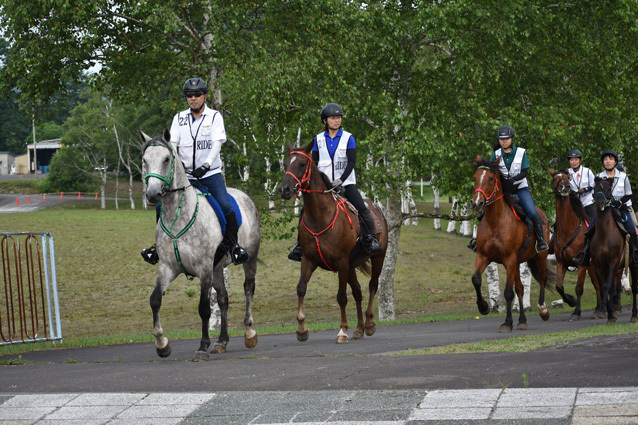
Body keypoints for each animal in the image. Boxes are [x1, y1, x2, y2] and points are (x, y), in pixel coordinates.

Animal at [140, 128, 260, 358]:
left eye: (166, 159)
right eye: (144, 160)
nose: (152, 194)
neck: (178, 217)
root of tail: (245, 196)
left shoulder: (203, 269)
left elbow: (204, 308)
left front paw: (202, 346)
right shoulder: (168, 267)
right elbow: (155, 299)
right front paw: (162, 344)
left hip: (249, 259)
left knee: (248, 289)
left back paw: (249, 333)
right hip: (217, 269)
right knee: (223, 299)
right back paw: (222, 341)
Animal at [280, 141, 390, 342]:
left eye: (301, 164)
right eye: (285, 164)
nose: (284, 189)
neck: (320, 216)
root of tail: (377, 209)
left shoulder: (341, 262)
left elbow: (341, 297)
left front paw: (342, 330)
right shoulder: (309, 260)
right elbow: (301, 288)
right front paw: (302, 329)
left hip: (378, 257)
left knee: (372, 286)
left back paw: (369, 324)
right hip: (351, 266)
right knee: (358, 292)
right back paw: (359, 329)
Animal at [470, 156, 556, 332]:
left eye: (490, 178)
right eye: (475, 177)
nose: (476, 203)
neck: (495, 222)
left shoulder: (509, 259)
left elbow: (508, 293)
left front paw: (507, 323)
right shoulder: (484, 256)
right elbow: (476, 279)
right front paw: (483, 307)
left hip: (540, 257)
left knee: (542, 279)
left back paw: (543, 310)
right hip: (516, 263)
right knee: (521, 289)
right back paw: (522, 320)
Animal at [552, 168, 604, 318]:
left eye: (567, 177)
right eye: (554, 178)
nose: (565, 187)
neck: (568, 230)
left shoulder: (581, 265)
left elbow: (579, 288)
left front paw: (576, 312)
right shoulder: (561, 263)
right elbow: (559, 287)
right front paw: (571, 301)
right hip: (592, 267)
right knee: (598, 286)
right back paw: (599, 308)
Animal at [592, 176, 638, 322]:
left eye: (608, 189)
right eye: (595, 188)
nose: (599, 203)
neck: (605, 234)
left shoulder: (613, 261)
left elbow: (607, 286)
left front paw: (608, 313)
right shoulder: (599, 265)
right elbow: (604, 287)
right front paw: (609, 313)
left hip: (633, 265)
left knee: (635, 289)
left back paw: (634, 315)